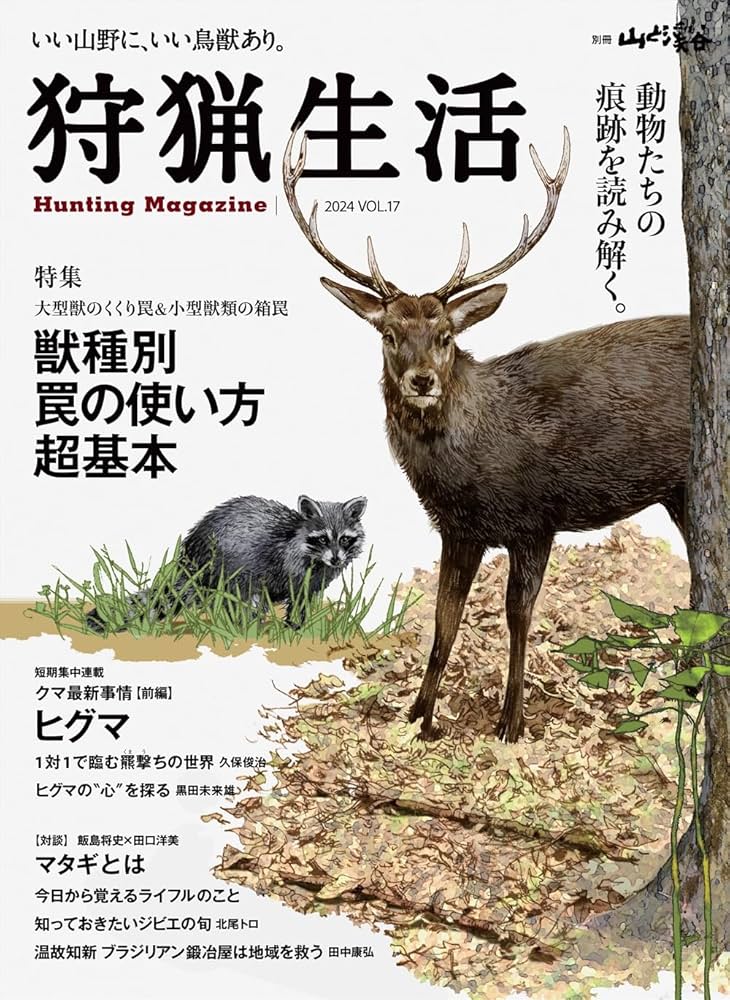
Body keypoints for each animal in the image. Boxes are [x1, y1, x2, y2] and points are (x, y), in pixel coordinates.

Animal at [282, 124, 690, 743]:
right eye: (388, 333)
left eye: (446, 335)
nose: (422, 380)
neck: (470, 466)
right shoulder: (458, 527)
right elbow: (444, 620)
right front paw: (419, 717)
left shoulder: (536, 518)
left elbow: (517, 615)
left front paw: (512, 722)